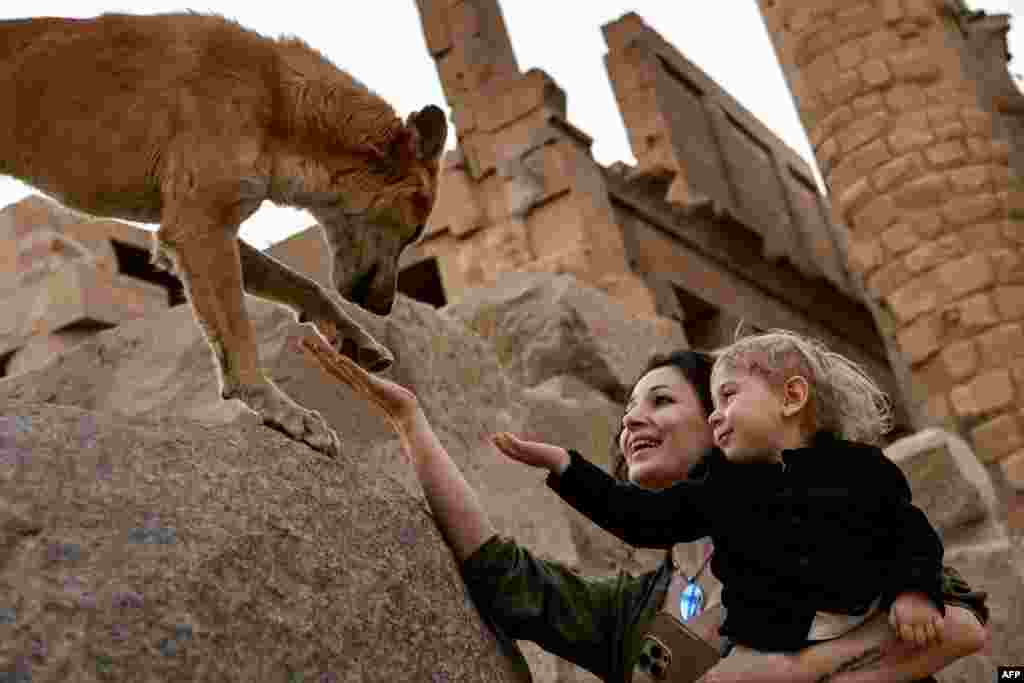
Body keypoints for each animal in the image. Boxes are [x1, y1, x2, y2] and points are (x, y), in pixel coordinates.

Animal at [1, 12, 448, 458]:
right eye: (415, 232)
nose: (385, 307)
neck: (278, 99)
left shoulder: (205, 230)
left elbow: (302, 284)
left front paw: (354, 338)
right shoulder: (199, 228)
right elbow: (239, 336)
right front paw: (283, 410)